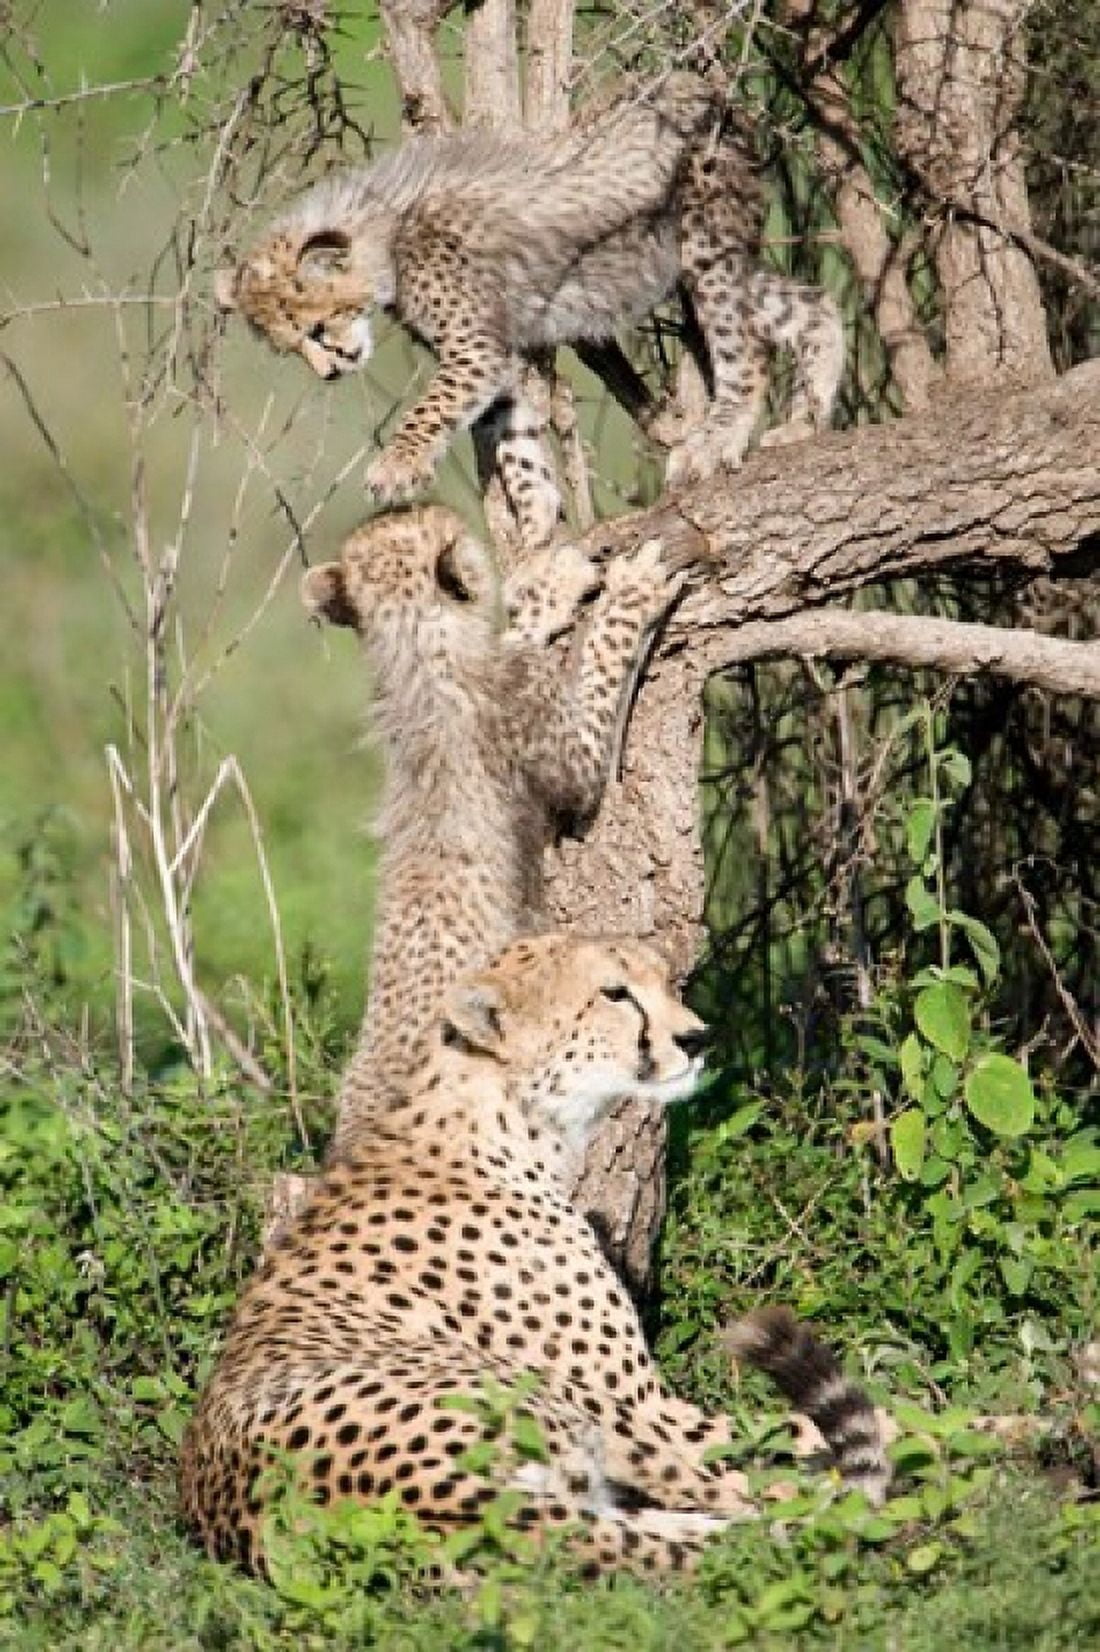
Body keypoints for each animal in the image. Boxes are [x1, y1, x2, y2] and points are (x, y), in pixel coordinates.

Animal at [180, 932, 890, 1576]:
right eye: (614, 994)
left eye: (664, 982)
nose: (697, 1038)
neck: (499, 1120)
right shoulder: (641, 1402)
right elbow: (782, 1428)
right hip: (575, 1412)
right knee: (754, 1494)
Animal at [214, 72, 845, 548]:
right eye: (292, 346)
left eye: (317, 329)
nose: (330, 371)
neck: (386, 232)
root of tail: (706, 87)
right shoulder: (501, 351)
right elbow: (514, 436)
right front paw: (539, 522)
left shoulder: (474, 347)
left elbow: (432, 408)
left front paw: (398, 466)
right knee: (814, 305)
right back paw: (804, 423)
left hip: (704, 248)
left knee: (746, 354)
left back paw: (715, 442)